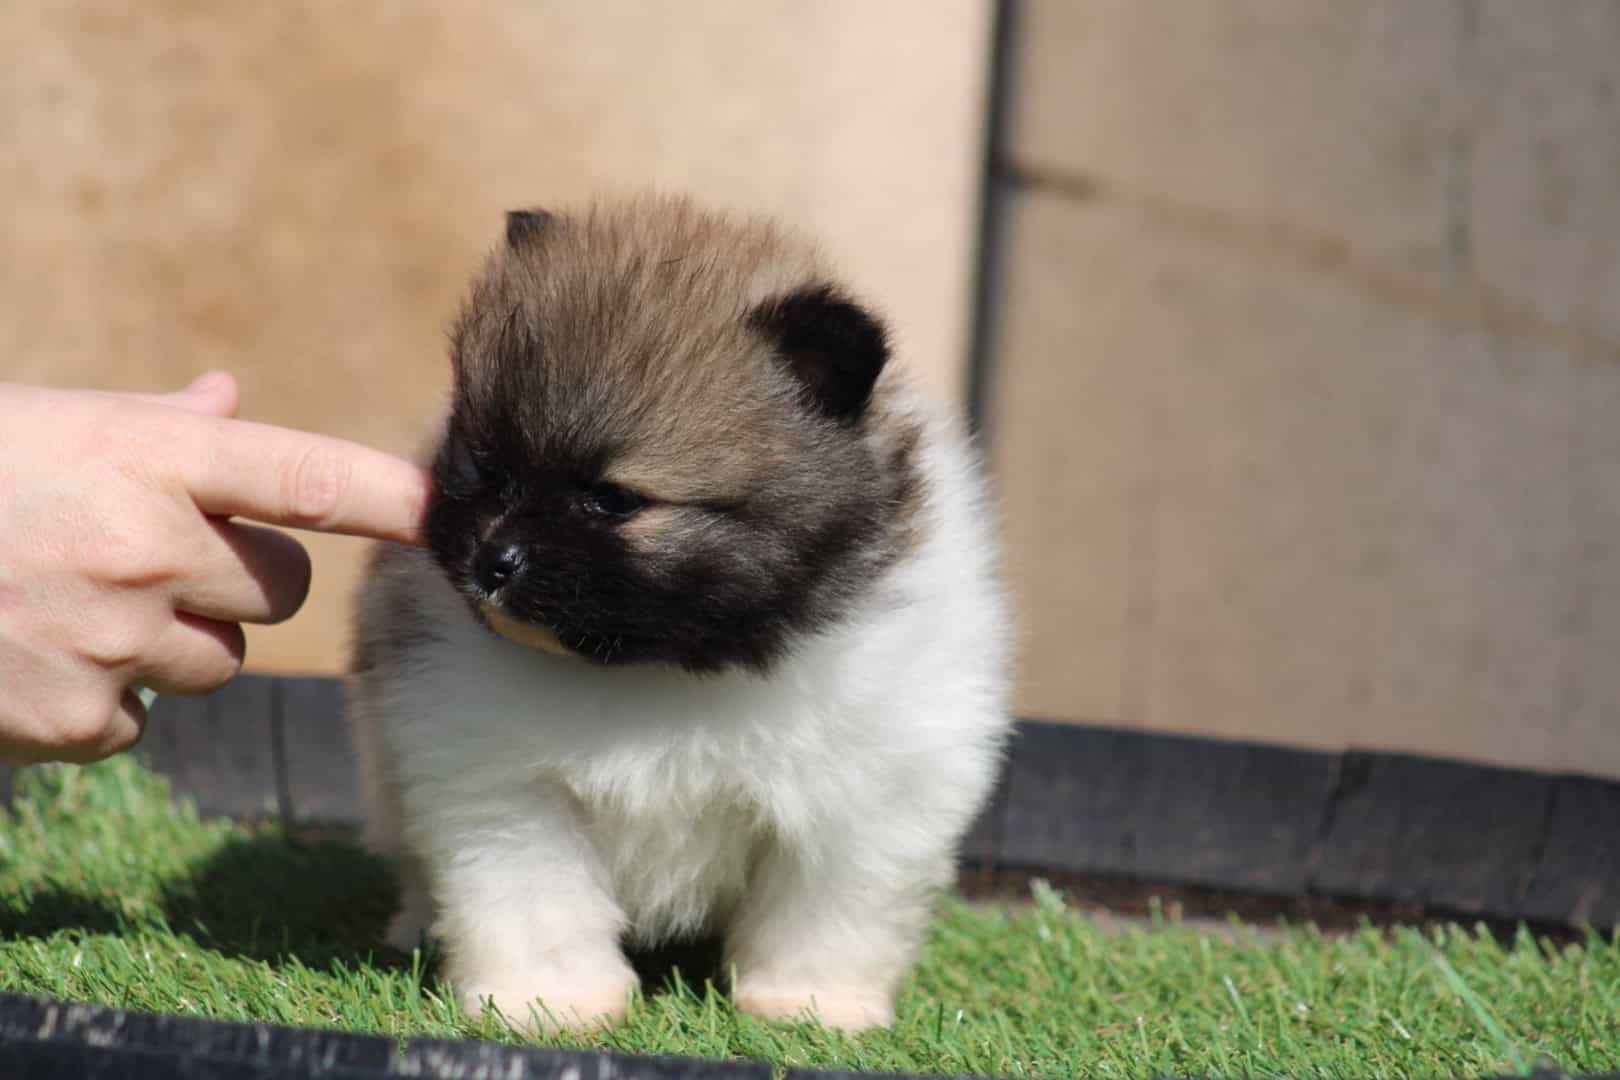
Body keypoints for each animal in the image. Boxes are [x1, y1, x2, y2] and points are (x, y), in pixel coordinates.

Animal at [351, 198, 1010, 1036]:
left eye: (612, 499)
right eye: (487, 468)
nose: (493, 560)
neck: (666, 664)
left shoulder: (864, 793)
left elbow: (826, 911)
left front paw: (810, 1002)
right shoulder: (503, 785)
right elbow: (533, 900)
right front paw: (549, 1003)